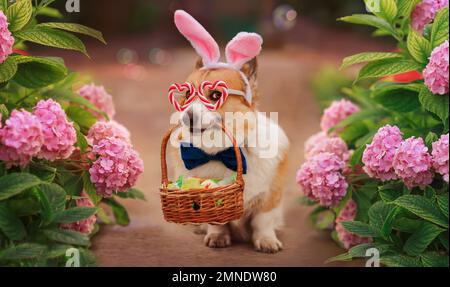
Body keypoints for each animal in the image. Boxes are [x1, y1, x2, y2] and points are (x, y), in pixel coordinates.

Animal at [167, 10, 290, 254]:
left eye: (215, 95)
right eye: (186, 95)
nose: (187, 117)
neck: (220, 152)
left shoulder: (270, 196)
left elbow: (263, 221)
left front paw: (266, 240)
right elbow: (217, 221)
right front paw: (217, 236)